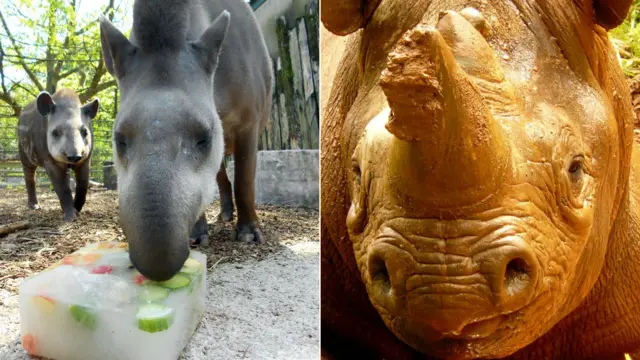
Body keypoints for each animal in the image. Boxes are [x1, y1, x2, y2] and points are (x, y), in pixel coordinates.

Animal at [16, 88, 100, 222]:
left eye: (85, 132)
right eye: (55, 133)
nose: (74, 156)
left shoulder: (86, 159)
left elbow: (83, 186)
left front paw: (76, 210)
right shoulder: (49, 159)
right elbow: (62, 188)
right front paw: (70, 217)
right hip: (23, 150)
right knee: (29, 174)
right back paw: (34, 206)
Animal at [97, 0, 272, 282]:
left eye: (204, 138)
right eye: (119, 139)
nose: (157, 267)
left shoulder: (250, 119)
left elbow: (245, 179)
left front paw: (248, 233)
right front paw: (197, 236)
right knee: (219, 173)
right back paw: (224, 213)